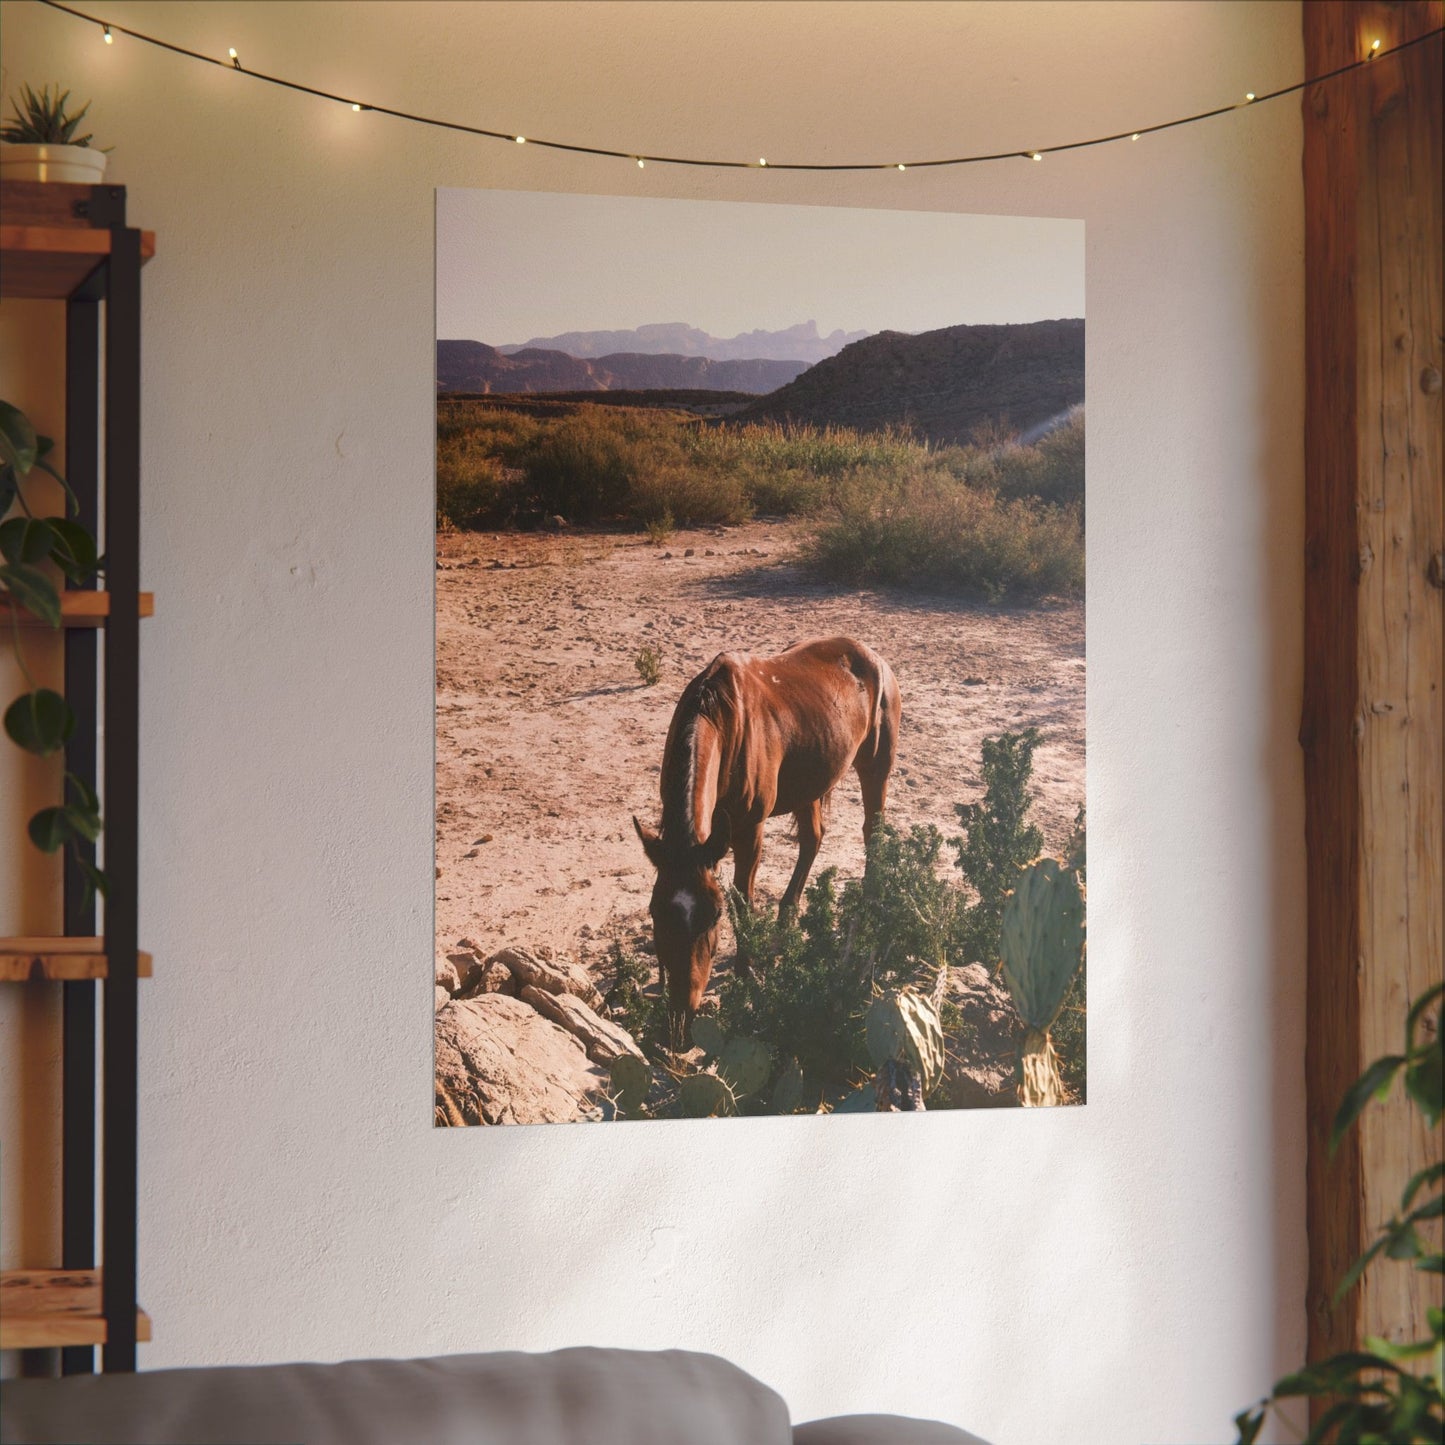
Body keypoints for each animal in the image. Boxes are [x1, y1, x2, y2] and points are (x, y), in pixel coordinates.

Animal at [633, 635, 901, 1045]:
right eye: (655, 912)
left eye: (714, 916)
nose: (681, 1021)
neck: (723, 721)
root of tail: (873, 657)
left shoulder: (749, 830)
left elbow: (743, 898)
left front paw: (745, 971)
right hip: (812, 780)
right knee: (812, 840)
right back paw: (786, 917)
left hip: (875, 768)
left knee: (873, 833)